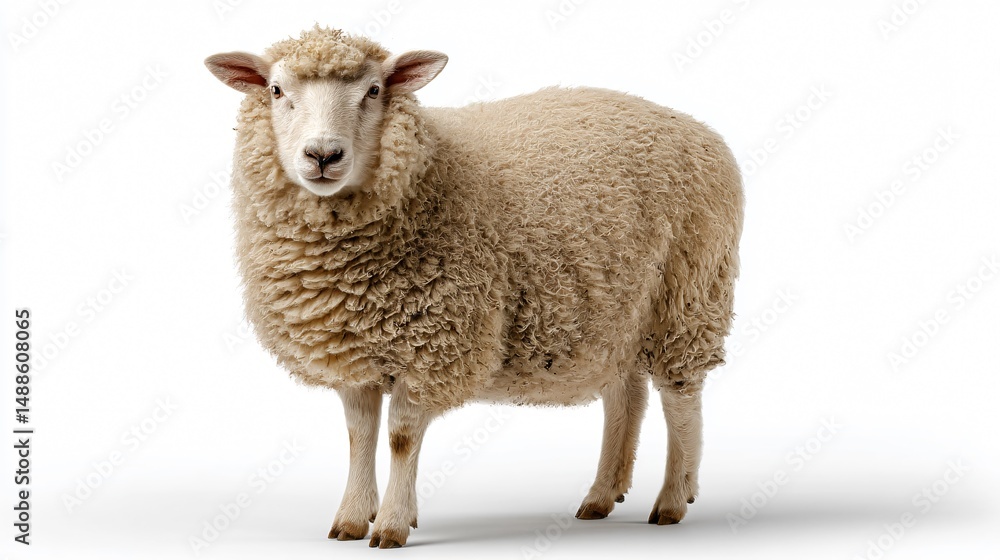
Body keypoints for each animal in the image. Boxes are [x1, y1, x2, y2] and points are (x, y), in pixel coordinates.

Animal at [205, 25, 744, 548]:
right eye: (277, 91)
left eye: (374, 90)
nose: (322, 155)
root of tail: (696, 126)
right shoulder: (352, 350)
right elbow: (359, 436)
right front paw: (352, 519)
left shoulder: (434, 344)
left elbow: (401, 438)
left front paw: (392, 525)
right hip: (617, 309)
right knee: (626, 394)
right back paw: (602, 494)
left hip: (687, 294)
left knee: (680, 398)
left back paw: (673, 499)